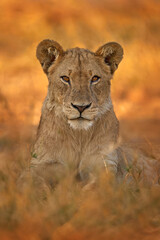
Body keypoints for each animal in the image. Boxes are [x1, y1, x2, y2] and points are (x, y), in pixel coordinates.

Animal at [28, 39, 159, 189]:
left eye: (95, 78)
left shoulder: (104, 162)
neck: (79, 136)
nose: (81, 106)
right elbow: (32, 183)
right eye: (65, 78)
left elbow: (97, 186)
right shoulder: (41, 163)